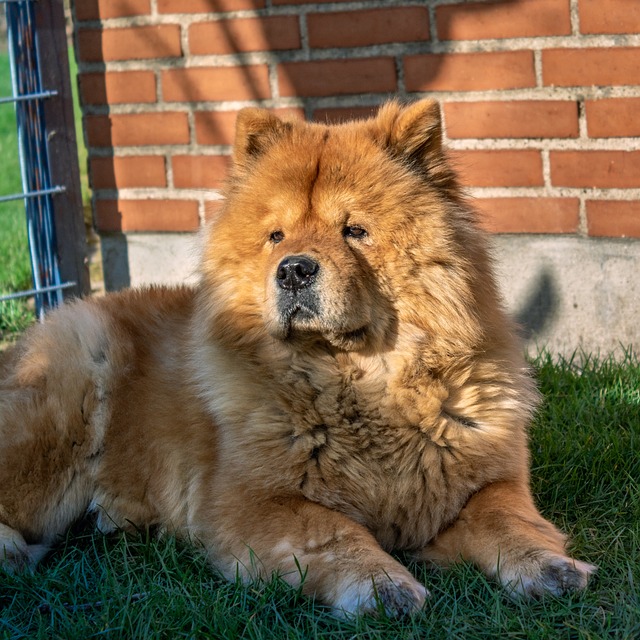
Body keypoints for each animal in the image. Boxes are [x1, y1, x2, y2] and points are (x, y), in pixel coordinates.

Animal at [0, 99, 596, 616]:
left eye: (355, 230)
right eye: (276, 236)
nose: (293, 269)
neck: (361, 385)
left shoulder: (487, 481)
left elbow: (510, 521)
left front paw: (551, 568)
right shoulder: (254, 504)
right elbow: (336, 532)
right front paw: (384, 587)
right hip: (68, 394)